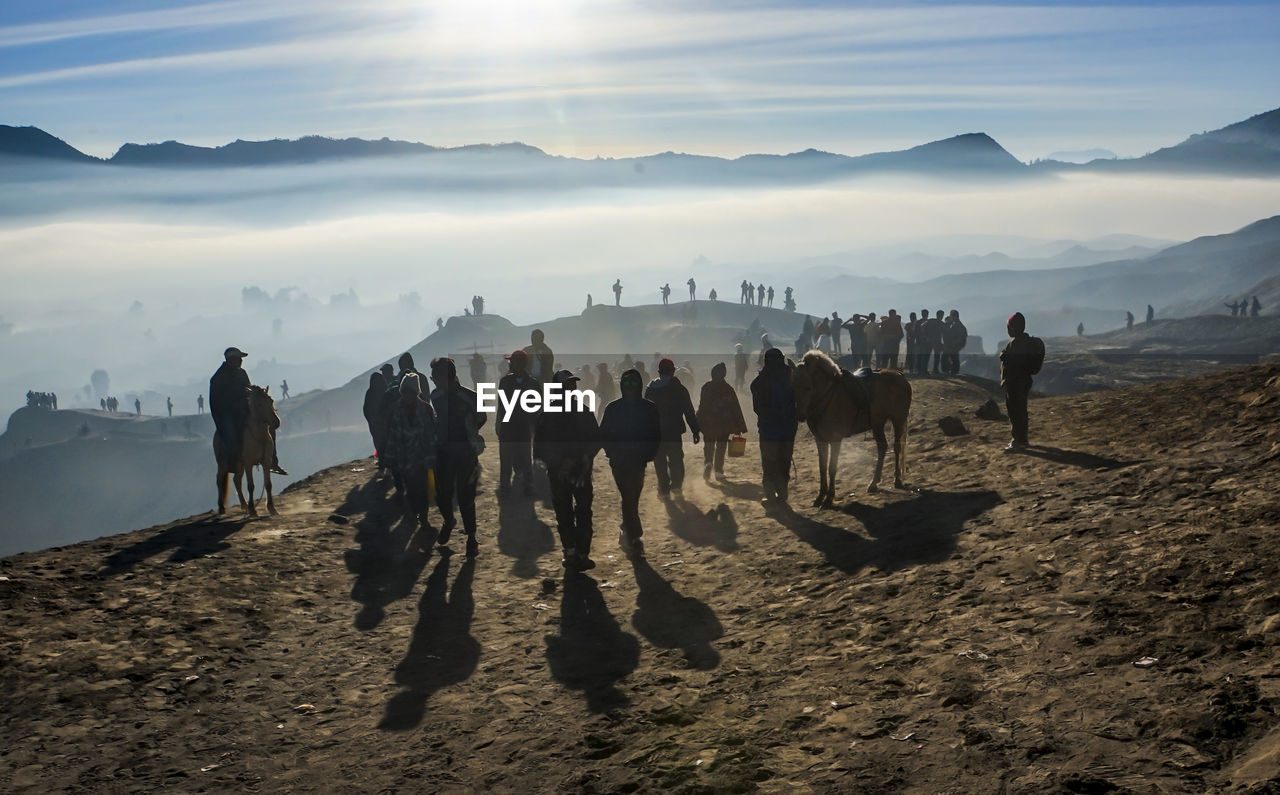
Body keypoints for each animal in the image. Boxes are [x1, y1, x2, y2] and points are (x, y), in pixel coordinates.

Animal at [215, 384, 280, 514]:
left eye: (271, 400)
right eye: (259, 404)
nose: (276, 422)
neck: (260, 437)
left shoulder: (266, 461)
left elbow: (268, 484)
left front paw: (271, 508)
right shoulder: (249, 463)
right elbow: (251, 486)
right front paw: (252, 510)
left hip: (239, 465)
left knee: (236, 480)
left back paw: (244, 504)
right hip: (223, 463)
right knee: (219, 480)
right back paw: (221, 507)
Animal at [788, 350, 911, 509]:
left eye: (808, 387)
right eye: (792, 387)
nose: (800, 416)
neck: (828, 396)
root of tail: (899, 374)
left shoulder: (835, 440)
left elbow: (832, 467)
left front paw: (829, 498)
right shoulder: (820, 440)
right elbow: (822, 468)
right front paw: (820, 497)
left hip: (898, 419)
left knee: (897, 448)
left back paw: (897, 480)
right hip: (878, 423)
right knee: (882, 447)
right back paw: (874, 483)